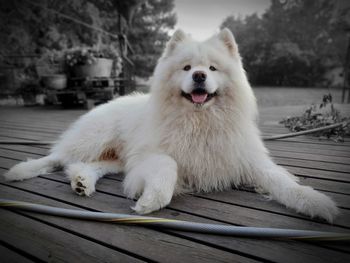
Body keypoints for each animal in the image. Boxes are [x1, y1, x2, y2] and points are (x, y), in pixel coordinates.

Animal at [4, 28, 340, 223]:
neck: (200, 121)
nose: (199, 76)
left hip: (115, 159)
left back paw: (82, 182)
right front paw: (151, 200)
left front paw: (316, 202)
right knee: (57, 158)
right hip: (94, 139)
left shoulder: (248, 161)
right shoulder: (148, 158)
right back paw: (22, 170)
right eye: (187, 68)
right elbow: (168, 166)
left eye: (212, 68)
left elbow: (283, 182)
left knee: (83, 166)